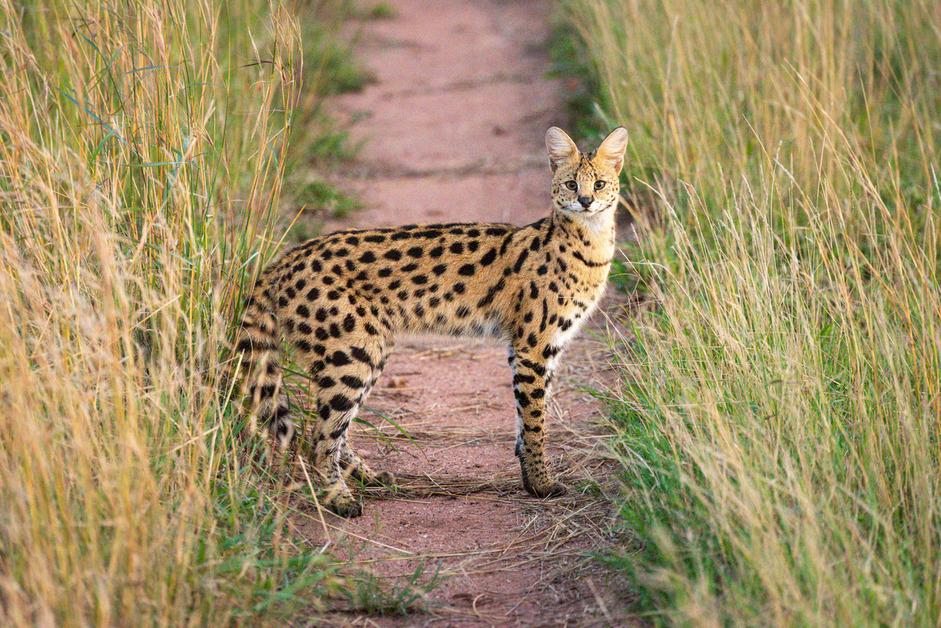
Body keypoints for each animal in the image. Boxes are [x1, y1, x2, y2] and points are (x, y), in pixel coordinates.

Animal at [235, 125, 628, 516]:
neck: (590, 243)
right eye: (572, 184)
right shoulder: (534, 345)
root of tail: (286, 259)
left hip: (368, 351)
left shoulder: (533, 347)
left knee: (331, 431)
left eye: (600, 184)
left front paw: (530, 479)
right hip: (351, 354)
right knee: (318, 437)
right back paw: (338, 498)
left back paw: (368, 477)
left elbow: (523, 419)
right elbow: (536, 422)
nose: (586, 201)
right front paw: (542, 483)